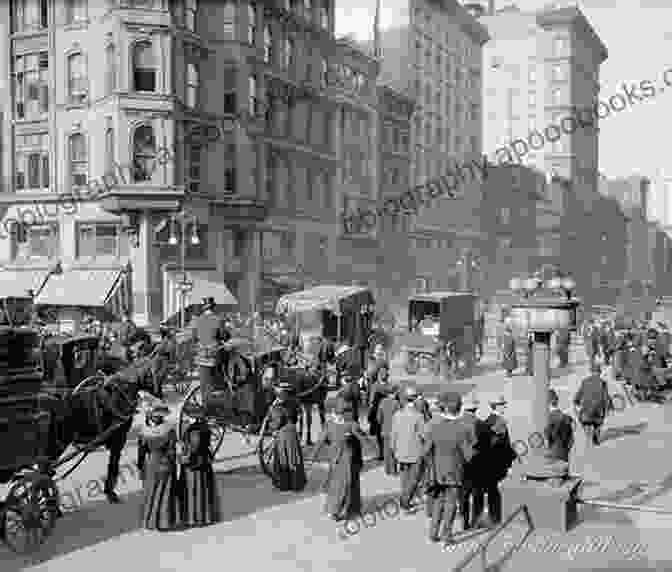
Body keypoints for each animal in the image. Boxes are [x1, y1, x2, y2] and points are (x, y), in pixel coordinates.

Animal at [44, 358, 161, 504]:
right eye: (156, 371)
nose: (160, 396)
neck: (121, 393)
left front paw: (108, 491)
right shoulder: (119, 438)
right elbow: (113, 465)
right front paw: (110, 493)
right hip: (57, 444)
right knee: (45, 472)